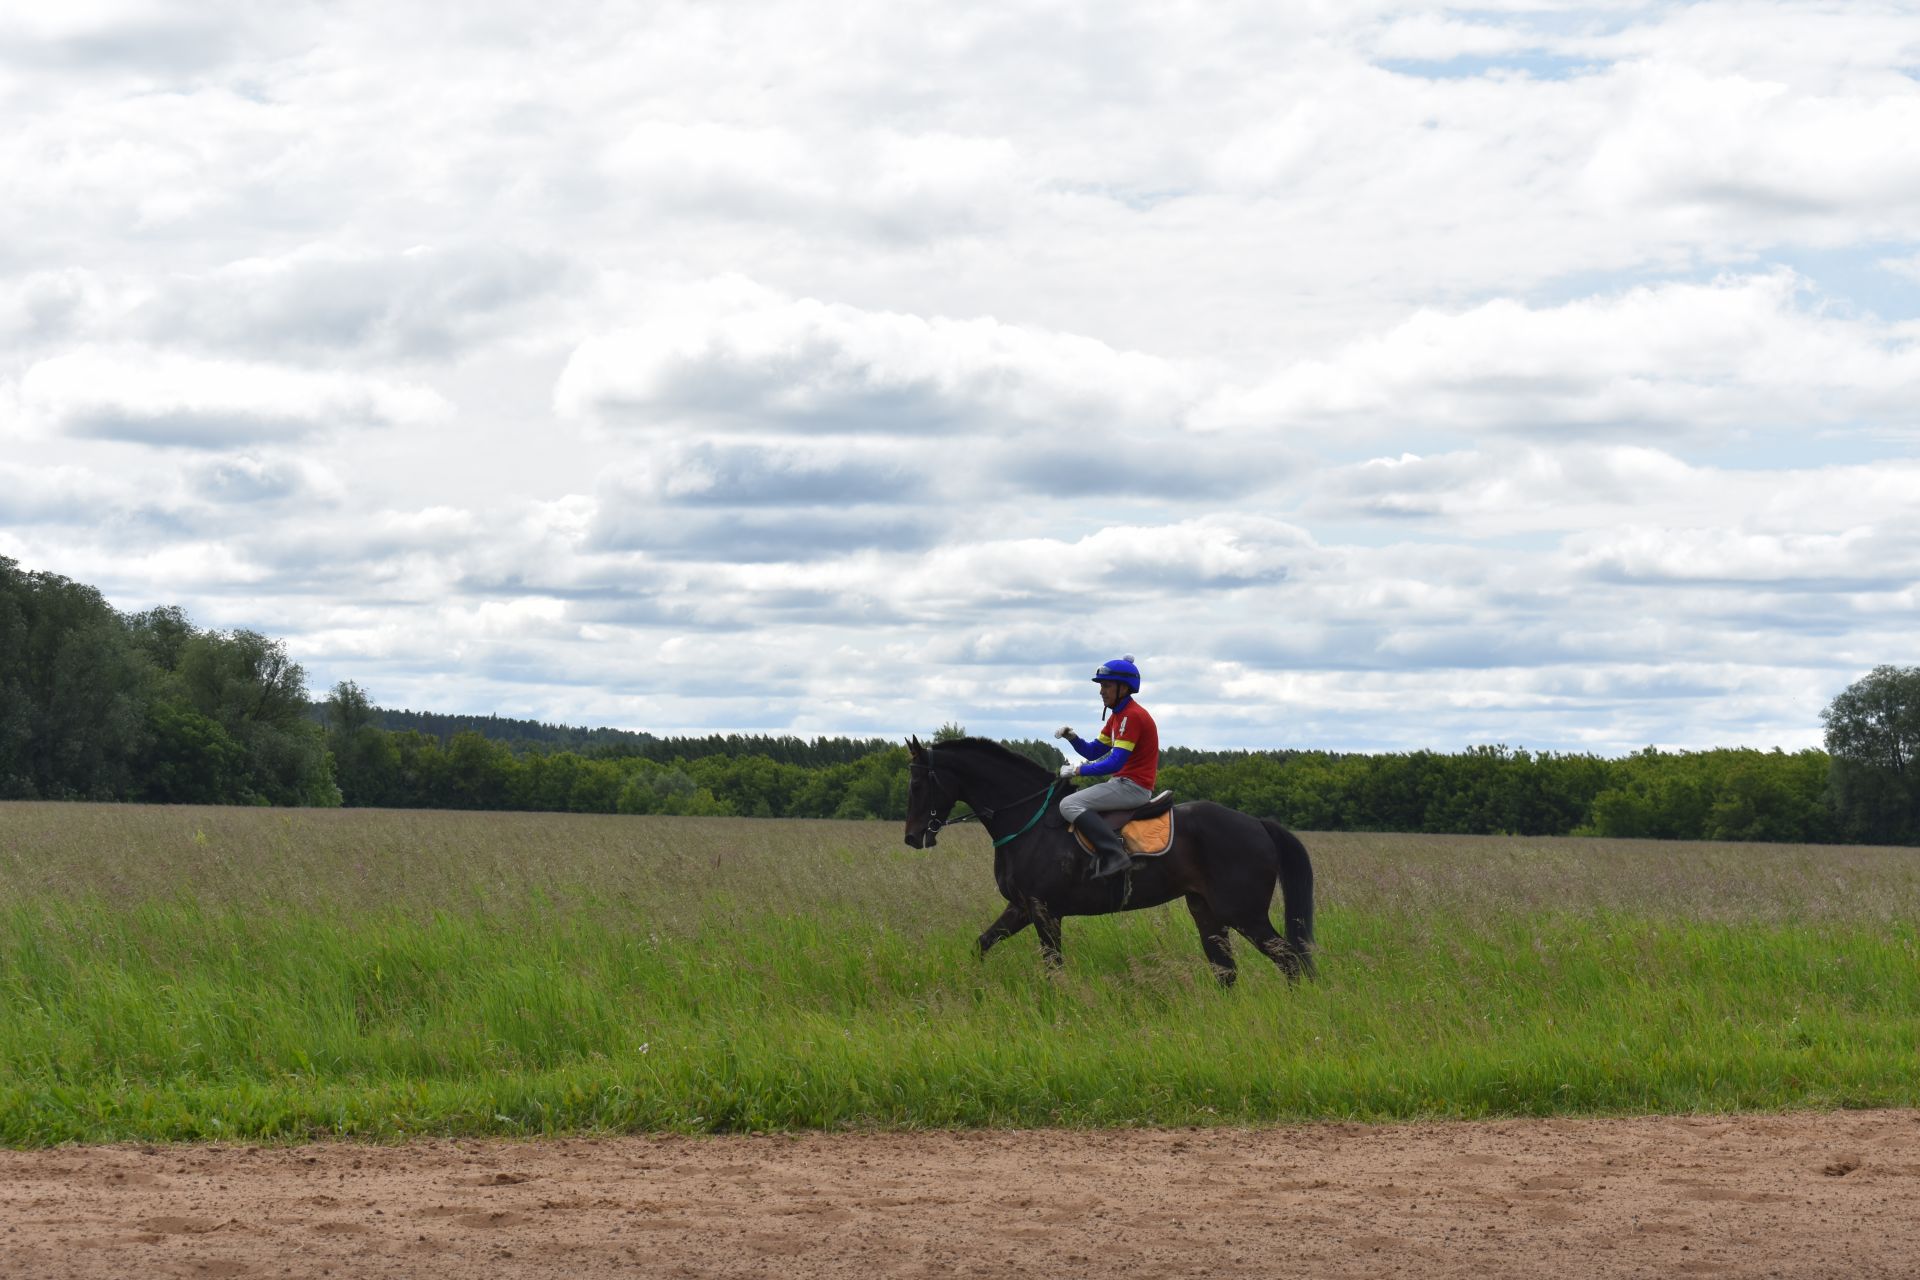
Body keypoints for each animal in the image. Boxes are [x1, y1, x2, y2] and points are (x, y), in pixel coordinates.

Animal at [906, 736, 1313, 990]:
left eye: (917, 784)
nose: (912, 837)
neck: (1028, 819)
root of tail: (1256, 823)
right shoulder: (1021, 908)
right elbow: (981, 945)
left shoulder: (1045, 911)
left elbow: (1053, 968)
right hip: (1206, 910)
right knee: (1225, 970)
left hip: (1243, 912)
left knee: (1291, 960)